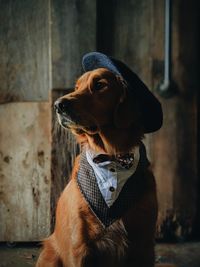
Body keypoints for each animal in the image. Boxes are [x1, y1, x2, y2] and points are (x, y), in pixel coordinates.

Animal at [36, 52, 163, 267]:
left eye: (100, 85)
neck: (111, 157)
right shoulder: (79, 247)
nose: (58, 105)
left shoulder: (144, 246)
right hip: (49, 256)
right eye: (76, 87)